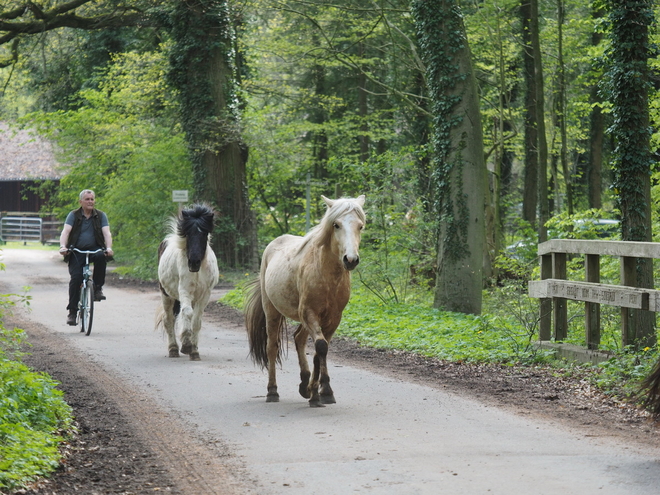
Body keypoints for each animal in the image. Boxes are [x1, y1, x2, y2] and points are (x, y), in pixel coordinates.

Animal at [155, 203, 218, 362]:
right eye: (188, 234)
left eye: (204, 234)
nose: (193, 262)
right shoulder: (184, 291)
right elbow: (187, 313)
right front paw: (186, 346)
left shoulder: (204, 295)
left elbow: (196, 321)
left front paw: (194, 351)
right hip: (166, 295)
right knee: (169, 320)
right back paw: (173, 349)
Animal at [245, 194, 366, 406]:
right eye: (336, 225)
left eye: (360, 226)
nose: (350, 260)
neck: (327, 275)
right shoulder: (309, 313)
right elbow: (320, 347)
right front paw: (315, 393)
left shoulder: (334, 318)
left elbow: (321, 350)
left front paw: (321, 390)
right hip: (272, 311)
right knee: (272, 347)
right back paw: (272, 391)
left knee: (299, 339)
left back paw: (304, 383)